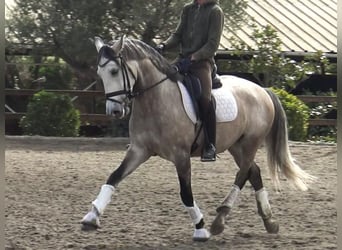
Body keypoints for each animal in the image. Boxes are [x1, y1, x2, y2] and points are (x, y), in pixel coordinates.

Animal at [81, 36, 316, 241]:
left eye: (114, 71)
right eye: (100, 73)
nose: (113, 111)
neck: (155, 99)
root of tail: (262, 90)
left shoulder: (181, 156)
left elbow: (185, 193)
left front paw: (201, 229)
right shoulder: (139, 150)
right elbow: (113, 177)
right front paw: (91, 217)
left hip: (251, 142)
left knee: (242, 174)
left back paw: (220, 219)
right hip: (236, 145)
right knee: (254, 172)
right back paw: (269, 221)